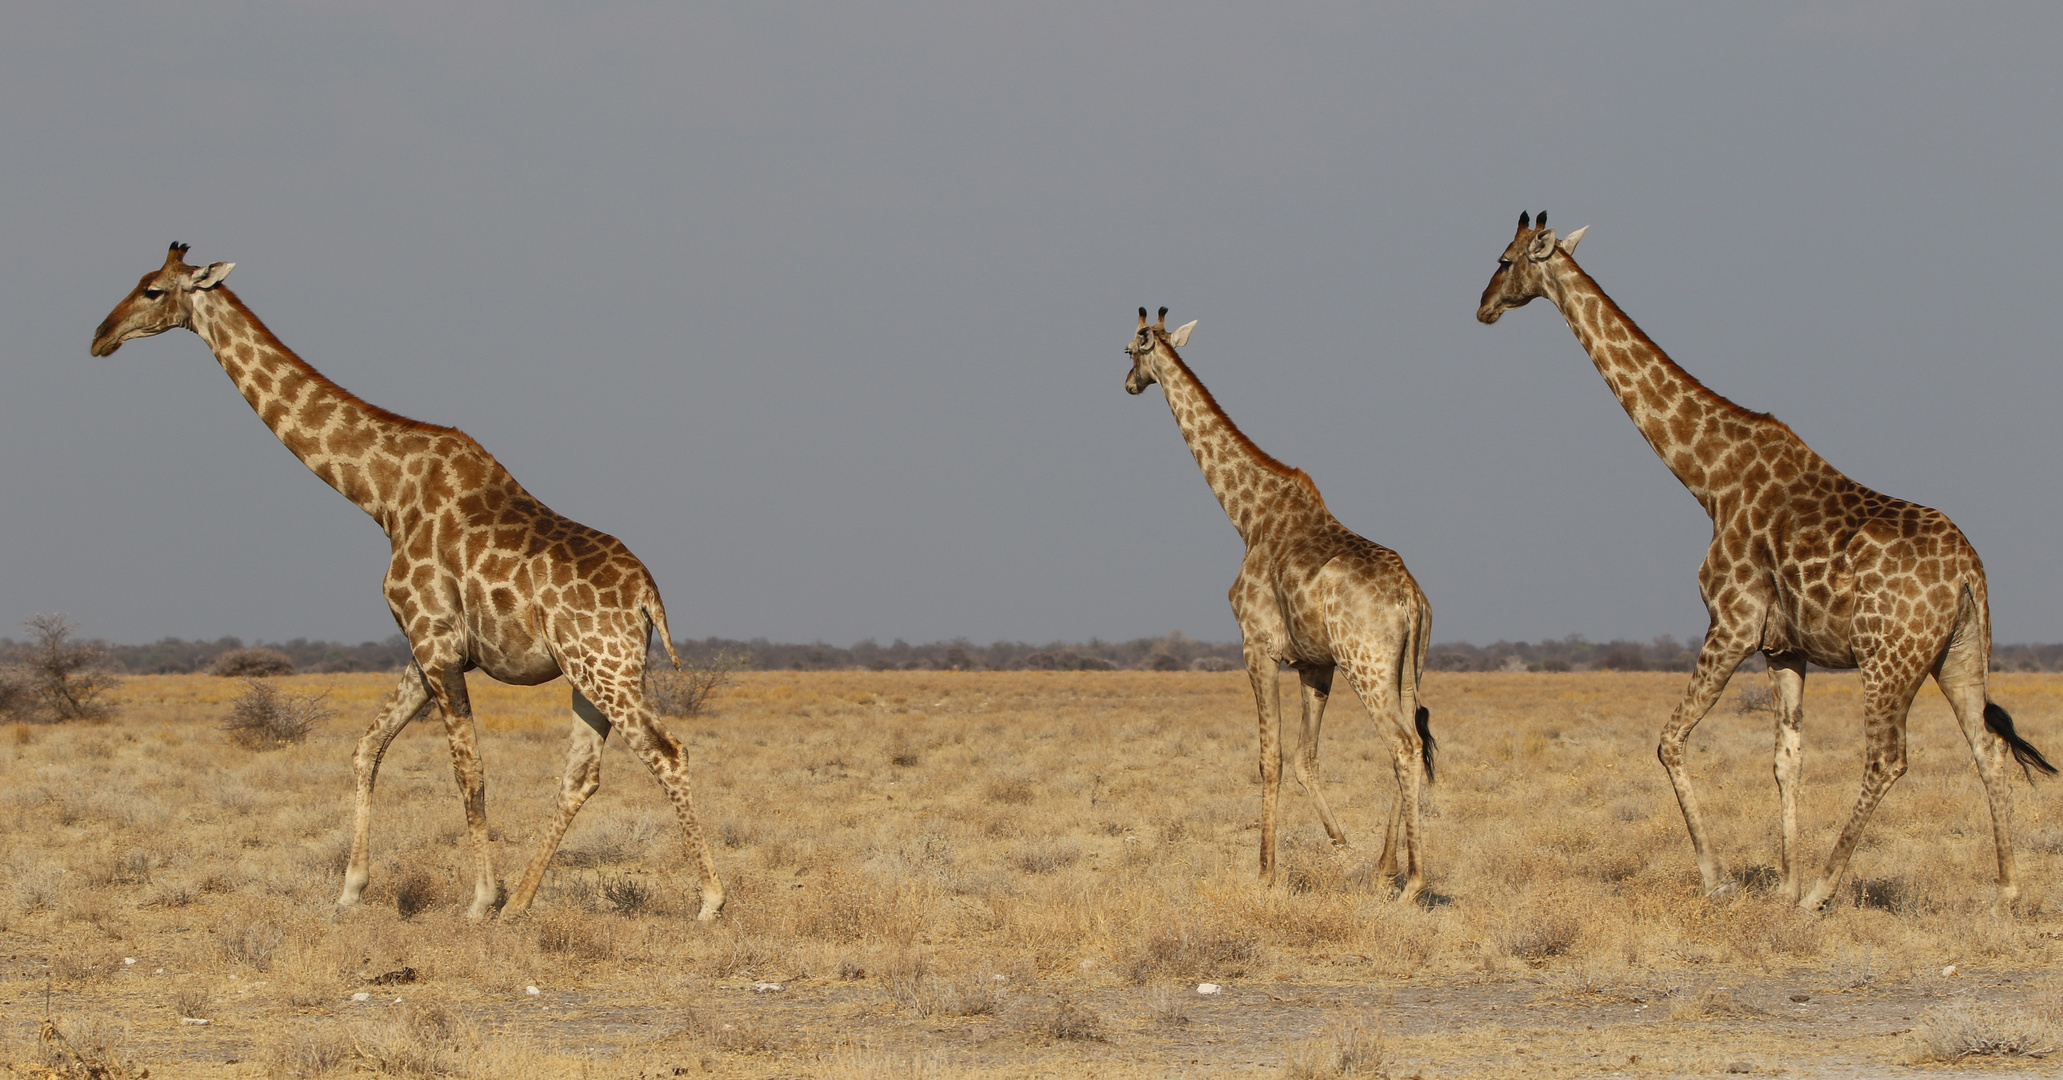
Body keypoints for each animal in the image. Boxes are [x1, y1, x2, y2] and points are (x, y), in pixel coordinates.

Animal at [92, 242, 730, 919]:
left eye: (153, 290)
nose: (100, 336)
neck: (382, 494)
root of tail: (648, 597)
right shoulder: (424, 647)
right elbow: (366, 747)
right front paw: (352, 890)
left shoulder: (435, 643)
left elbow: (468, 770)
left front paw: (477, 901)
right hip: (590, 672)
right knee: (581, 774)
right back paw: (521, 905)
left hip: (604, 667)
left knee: (667, 753)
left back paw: (708, 901)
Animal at [1122, 305, 1444, 902]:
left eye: (1129, 349)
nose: (1128, 384)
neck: (1248, 517)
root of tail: (1412, 598)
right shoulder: (1315, 664)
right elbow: (1305, 759)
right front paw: (1342, 846)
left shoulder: (1258, 648)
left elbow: (1269, 758)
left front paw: (1265, 872)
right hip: (1405, 667)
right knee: (1408, 741)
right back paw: (1385, 868)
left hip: (1366, 664)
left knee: (1403, 747)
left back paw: (1412, 882)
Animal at [1477, 211, 2054, 910]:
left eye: (1505, 260)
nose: (1481, 307)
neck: (1709, 480)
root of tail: (1970, 570)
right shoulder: (1785, 647)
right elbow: (1787, 759)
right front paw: (1783, 883)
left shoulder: (1732, 623)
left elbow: (1670, 741)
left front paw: (1721, 879)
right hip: (1961, 652)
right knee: (1987, 749)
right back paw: (2006, 892)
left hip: (1889, 657)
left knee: (1888, 757)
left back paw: (1826, 892)